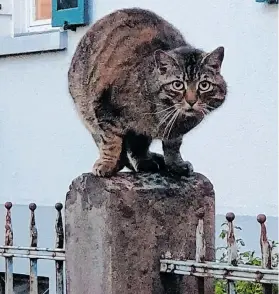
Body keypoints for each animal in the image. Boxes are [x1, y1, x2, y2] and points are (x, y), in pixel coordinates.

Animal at [69, 7, 229, 177]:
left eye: (204, 85)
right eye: (177, 85)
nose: (191, 101)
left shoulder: (171, 132)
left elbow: (173, 145)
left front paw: (176, 164)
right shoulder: (105, 109)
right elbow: (111, 141)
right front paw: (107, 163)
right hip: (86, 111)